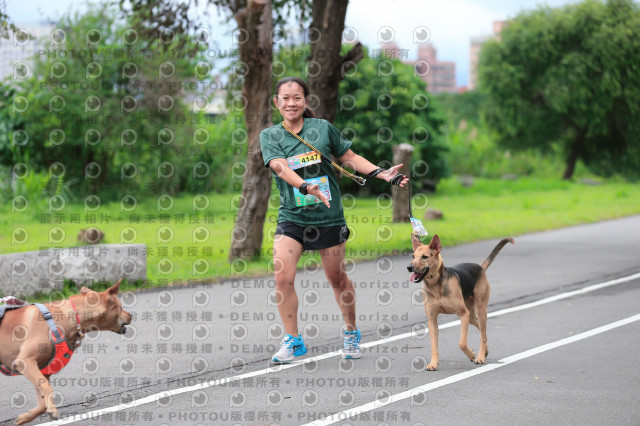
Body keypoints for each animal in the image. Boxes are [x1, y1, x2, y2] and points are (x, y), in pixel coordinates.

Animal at [0, 282, 131, 424]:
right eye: (121, 308)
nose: (131, 315)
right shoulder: (24, 362)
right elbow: (47, 387)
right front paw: (52, 410)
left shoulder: (42, 372)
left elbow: (42, 400)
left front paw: (27, 417)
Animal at [410, 235, 516, 372]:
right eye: (413, 256)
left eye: (424, 257)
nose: (409, 267)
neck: (436, 285)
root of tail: (480, 267)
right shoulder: (432, 320)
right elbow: (434, 345)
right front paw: (433, 363)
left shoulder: (463, 314)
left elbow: (462, 343)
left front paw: (471, 354)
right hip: (471, 314)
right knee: (481, 331)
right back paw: (485, 351)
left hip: (480, 309)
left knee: (482, 334)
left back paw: (480, 357)